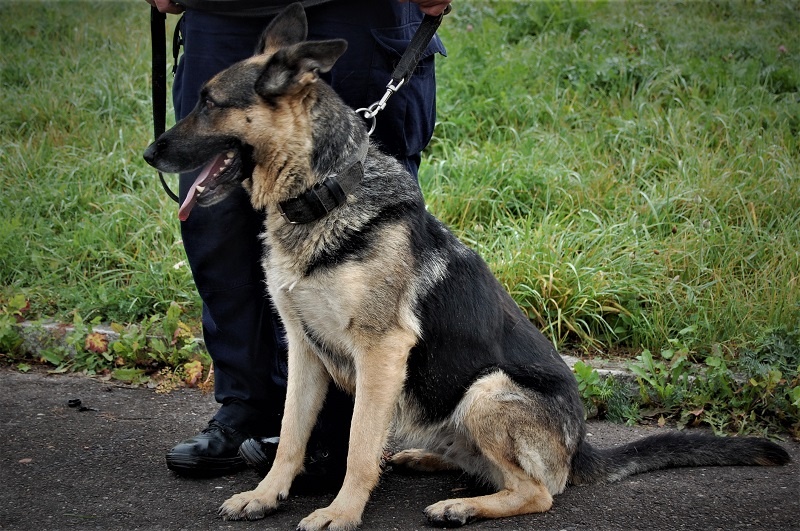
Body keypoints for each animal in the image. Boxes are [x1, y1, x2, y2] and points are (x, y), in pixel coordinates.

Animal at [142, 3, 788, 528]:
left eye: (210, 103)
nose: (148, 153)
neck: (324, 194)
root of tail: (579, 446)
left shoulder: (380, 350)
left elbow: (356, 445)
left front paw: (342, 512)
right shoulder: (304, 350)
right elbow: (292, 437)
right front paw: (267, 494)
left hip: (486, 390)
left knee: (537, 492)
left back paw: (461, 507)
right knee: (488, 468)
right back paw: (427, 462)